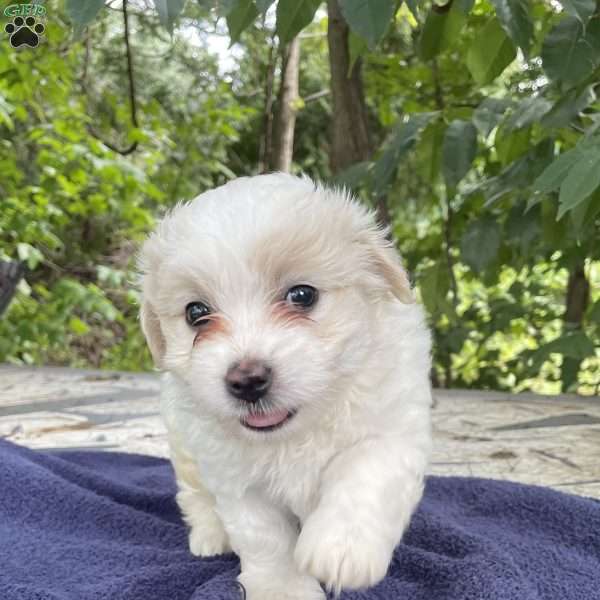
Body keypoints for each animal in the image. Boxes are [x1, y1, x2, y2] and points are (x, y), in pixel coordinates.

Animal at [138, 173, 432, 600]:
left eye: (302, 295)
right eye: (196, 313)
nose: (246, 379)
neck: (295, 432)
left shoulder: (391, 428)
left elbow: (364, 472)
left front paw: (341, 548)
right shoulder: (235, 478)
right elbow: (265, 537)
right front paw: (283, 587)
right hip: (184, 446)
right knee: (194, 494)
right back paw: (209, 535)